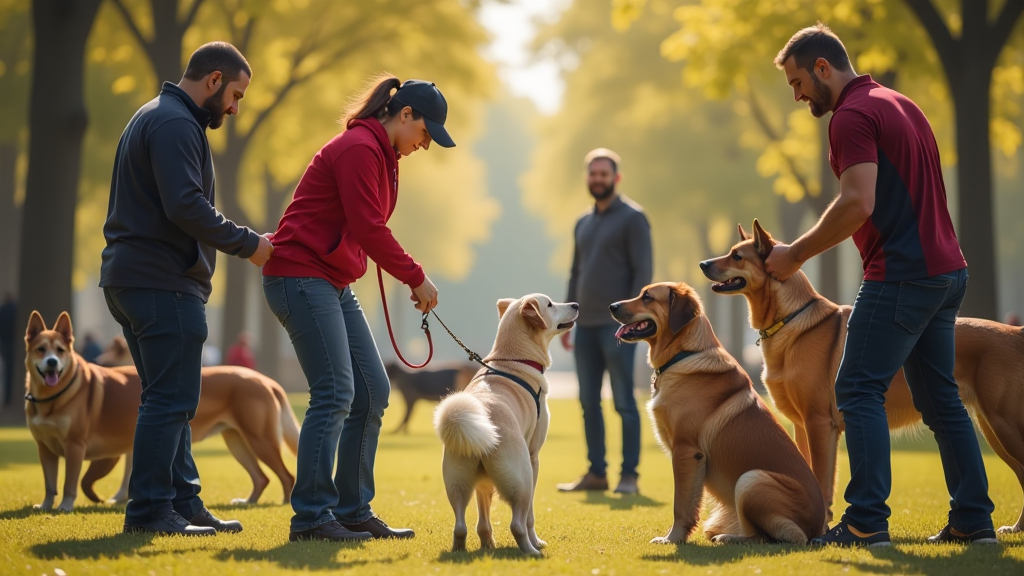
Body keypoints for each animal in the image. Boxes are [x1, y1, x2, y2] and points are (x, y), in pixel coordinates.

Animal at [24, 311, 299, 508]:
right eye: (40, 350)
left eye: (60, 351)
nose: (51, 363)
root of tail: (266, 380)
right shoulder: (47, 447)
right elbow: (57, 483)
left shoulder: (81, 446)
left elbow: (78, 480)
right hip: (236, 440)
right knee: (262, 477)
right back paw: (247, 502)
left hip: (260, 440)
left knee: (287, 476)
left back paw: (286, 504)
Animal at [430, 293, 577, 553]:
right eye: (550, 304)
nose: (576, 305)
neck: (513, 359)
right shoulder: (534, 457)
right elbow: (530, 518)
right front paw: (536, 540)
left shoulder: (482, 482)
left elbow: (483, 517)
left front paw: (487, 542)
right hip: (522, 480)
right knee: (518, 523)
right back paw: (532, 550)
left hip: (457, 483)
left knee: (460, 526)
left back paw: (461, 551)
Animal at [606, 282, 823, 541]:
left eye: (647, 297)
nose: (612, 306)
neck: (685, 352)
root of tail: (818, 528)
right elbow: (690, 504)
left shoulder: (686, 451)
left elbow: (680, 505)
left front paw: (672, 539)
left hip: (751, 479)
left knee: (764, 537)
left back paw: (730, 538)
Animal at [700, 218, 1024, 528]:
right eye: (730, 251)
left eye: (737, 256)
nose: (703, 264)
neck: (791, 321)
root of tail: (1015, 332)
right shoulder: (801, 426)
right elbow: (808, 475)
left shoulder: (819, 423)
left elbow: (821, 481)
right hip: (990, 427)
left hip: (1004, 424)